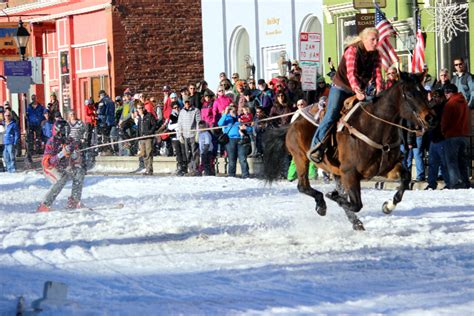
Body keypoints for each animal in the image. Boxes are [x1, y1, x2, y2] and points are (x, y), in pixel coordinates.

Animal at [262, 73, 436, 231]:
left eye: (424, 92)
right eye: (410, 94)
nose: (430, 117)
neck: (374, 127)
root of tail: (293, 122)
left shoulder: (386, 168)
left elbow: (405, 179)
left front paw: (388, 206)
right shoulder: (350, 173)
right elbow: (356, 204)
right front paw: (332, 196)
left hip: (335, 171)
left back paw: (354, 220)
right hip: (300, 158)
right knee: (303, 186)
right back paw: (322, 205)